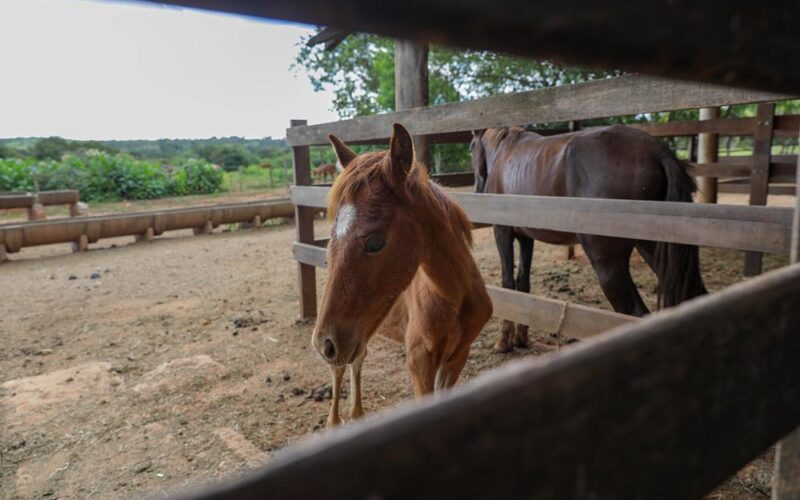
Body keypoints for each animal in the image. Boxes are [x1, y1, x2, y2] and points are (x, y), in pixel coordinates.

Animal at [313, 123, 493, 427]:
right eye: (330, 240)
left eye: (375, 243)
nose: (325, 344)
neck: (452, 297)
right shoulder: (419, 362)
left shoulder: (458, 356)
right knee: (340, 369)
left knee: (357, 359)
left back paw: (357, 413)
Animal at [471, 125, 707, 352]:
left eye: (472, 146)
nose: (477, 188)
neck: (504, 152)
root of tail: (656, 151)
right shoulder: (526, 238)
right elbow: (523, 285)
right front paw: (520, 338)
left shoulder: (503, 233)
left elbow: (508, 285)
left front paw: (504, 343)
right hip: (654, 249)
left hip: (608, 263)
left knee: (634, 312)